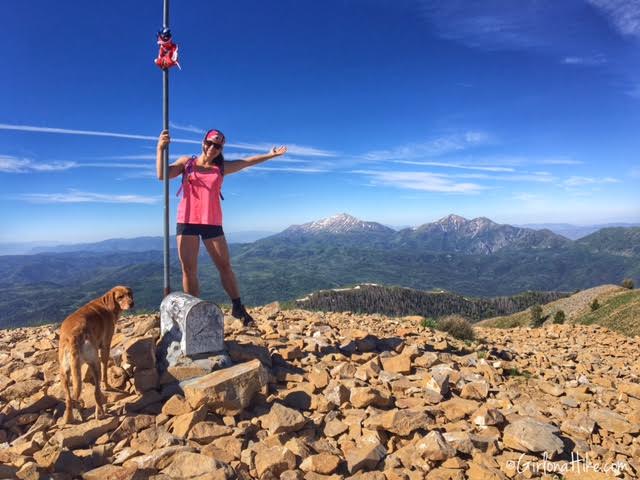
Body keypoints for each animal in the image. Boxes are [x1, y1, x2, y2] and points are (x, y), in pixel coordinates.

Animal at [58, 284, 134, 424]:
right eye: (120, 297)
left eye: (129, 294)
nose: (131, 303)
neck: (106, 304)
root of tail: (73, 336)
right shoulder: (105, 346)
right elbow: (105, 371)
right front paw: (107, 385)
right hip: (94, 363)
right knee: (96, 392)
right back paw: (100, 413)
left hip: (65, 372)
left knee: (69, 398)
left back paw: (68, 418)